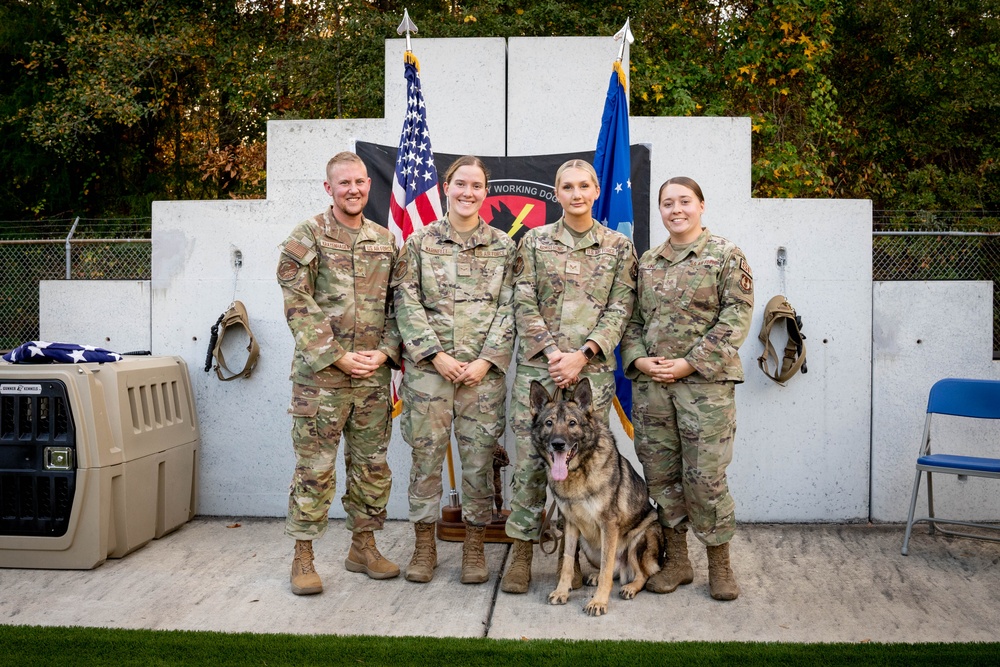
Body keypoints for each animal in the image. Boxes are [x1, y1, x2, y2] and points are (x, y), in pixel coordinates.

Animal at [528, 378, 660, 620]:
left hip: (641, 536)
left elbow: (607, 567)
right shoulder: (571, 524)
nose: (558, 444)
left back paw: (629, 587)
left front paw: (599, 601)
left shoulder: (609, 524)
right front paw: (562, 591)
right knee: (612, 570)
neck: (578, 470)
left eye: (572, 423)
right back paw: (598, 577)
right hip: (588, 545)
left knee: (639, 574)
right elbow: (568, 561)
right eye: (549, 423)